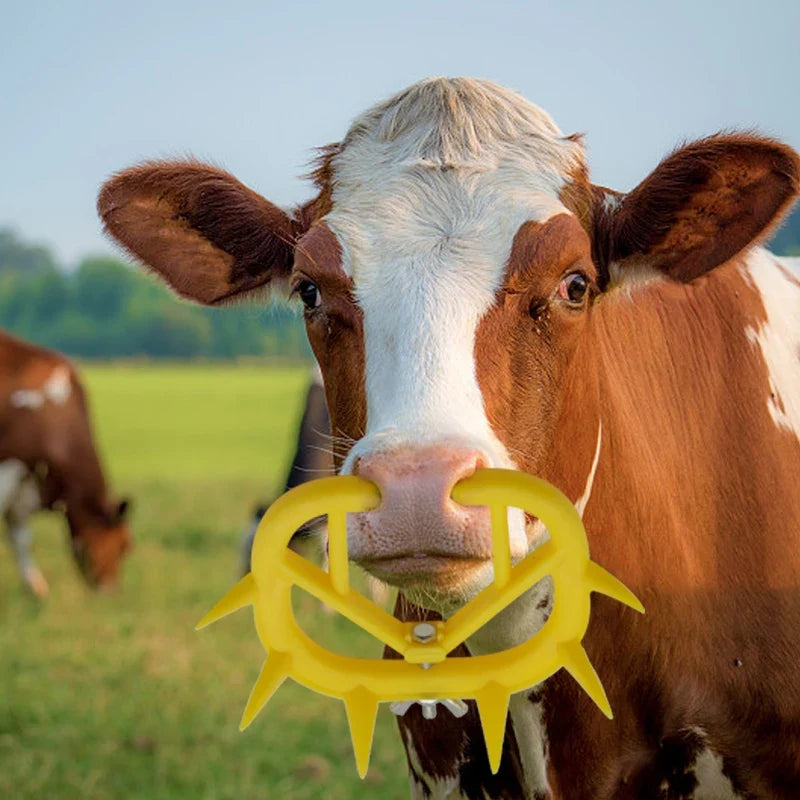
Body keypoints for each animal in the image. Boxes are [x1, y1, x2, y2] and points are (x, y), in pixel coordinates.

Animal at [0, 329, 132, 596]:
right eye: (124, 544)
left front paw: (35, 588)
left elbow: (20, 536)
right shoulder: (9, 466)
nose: (110, 591)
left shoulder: (26, 482)